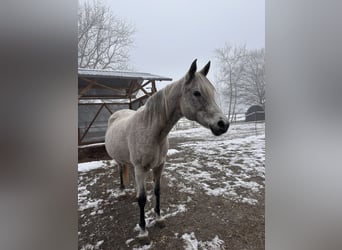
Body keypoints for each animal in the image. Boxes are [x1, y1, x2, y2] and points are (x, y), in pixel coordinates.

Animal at [105, 59, 227, 238]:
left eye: (212, 92)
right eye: (197, 93)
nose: (223, 124)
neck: (151, 130)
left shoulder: (159, 166)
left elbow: (157, 191)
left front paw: (159, 218)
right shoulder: (141, 168)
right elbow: (142, 199)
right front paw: (143, 230)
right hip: (121, 161)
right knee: (121, 170)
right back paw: (122, 190)